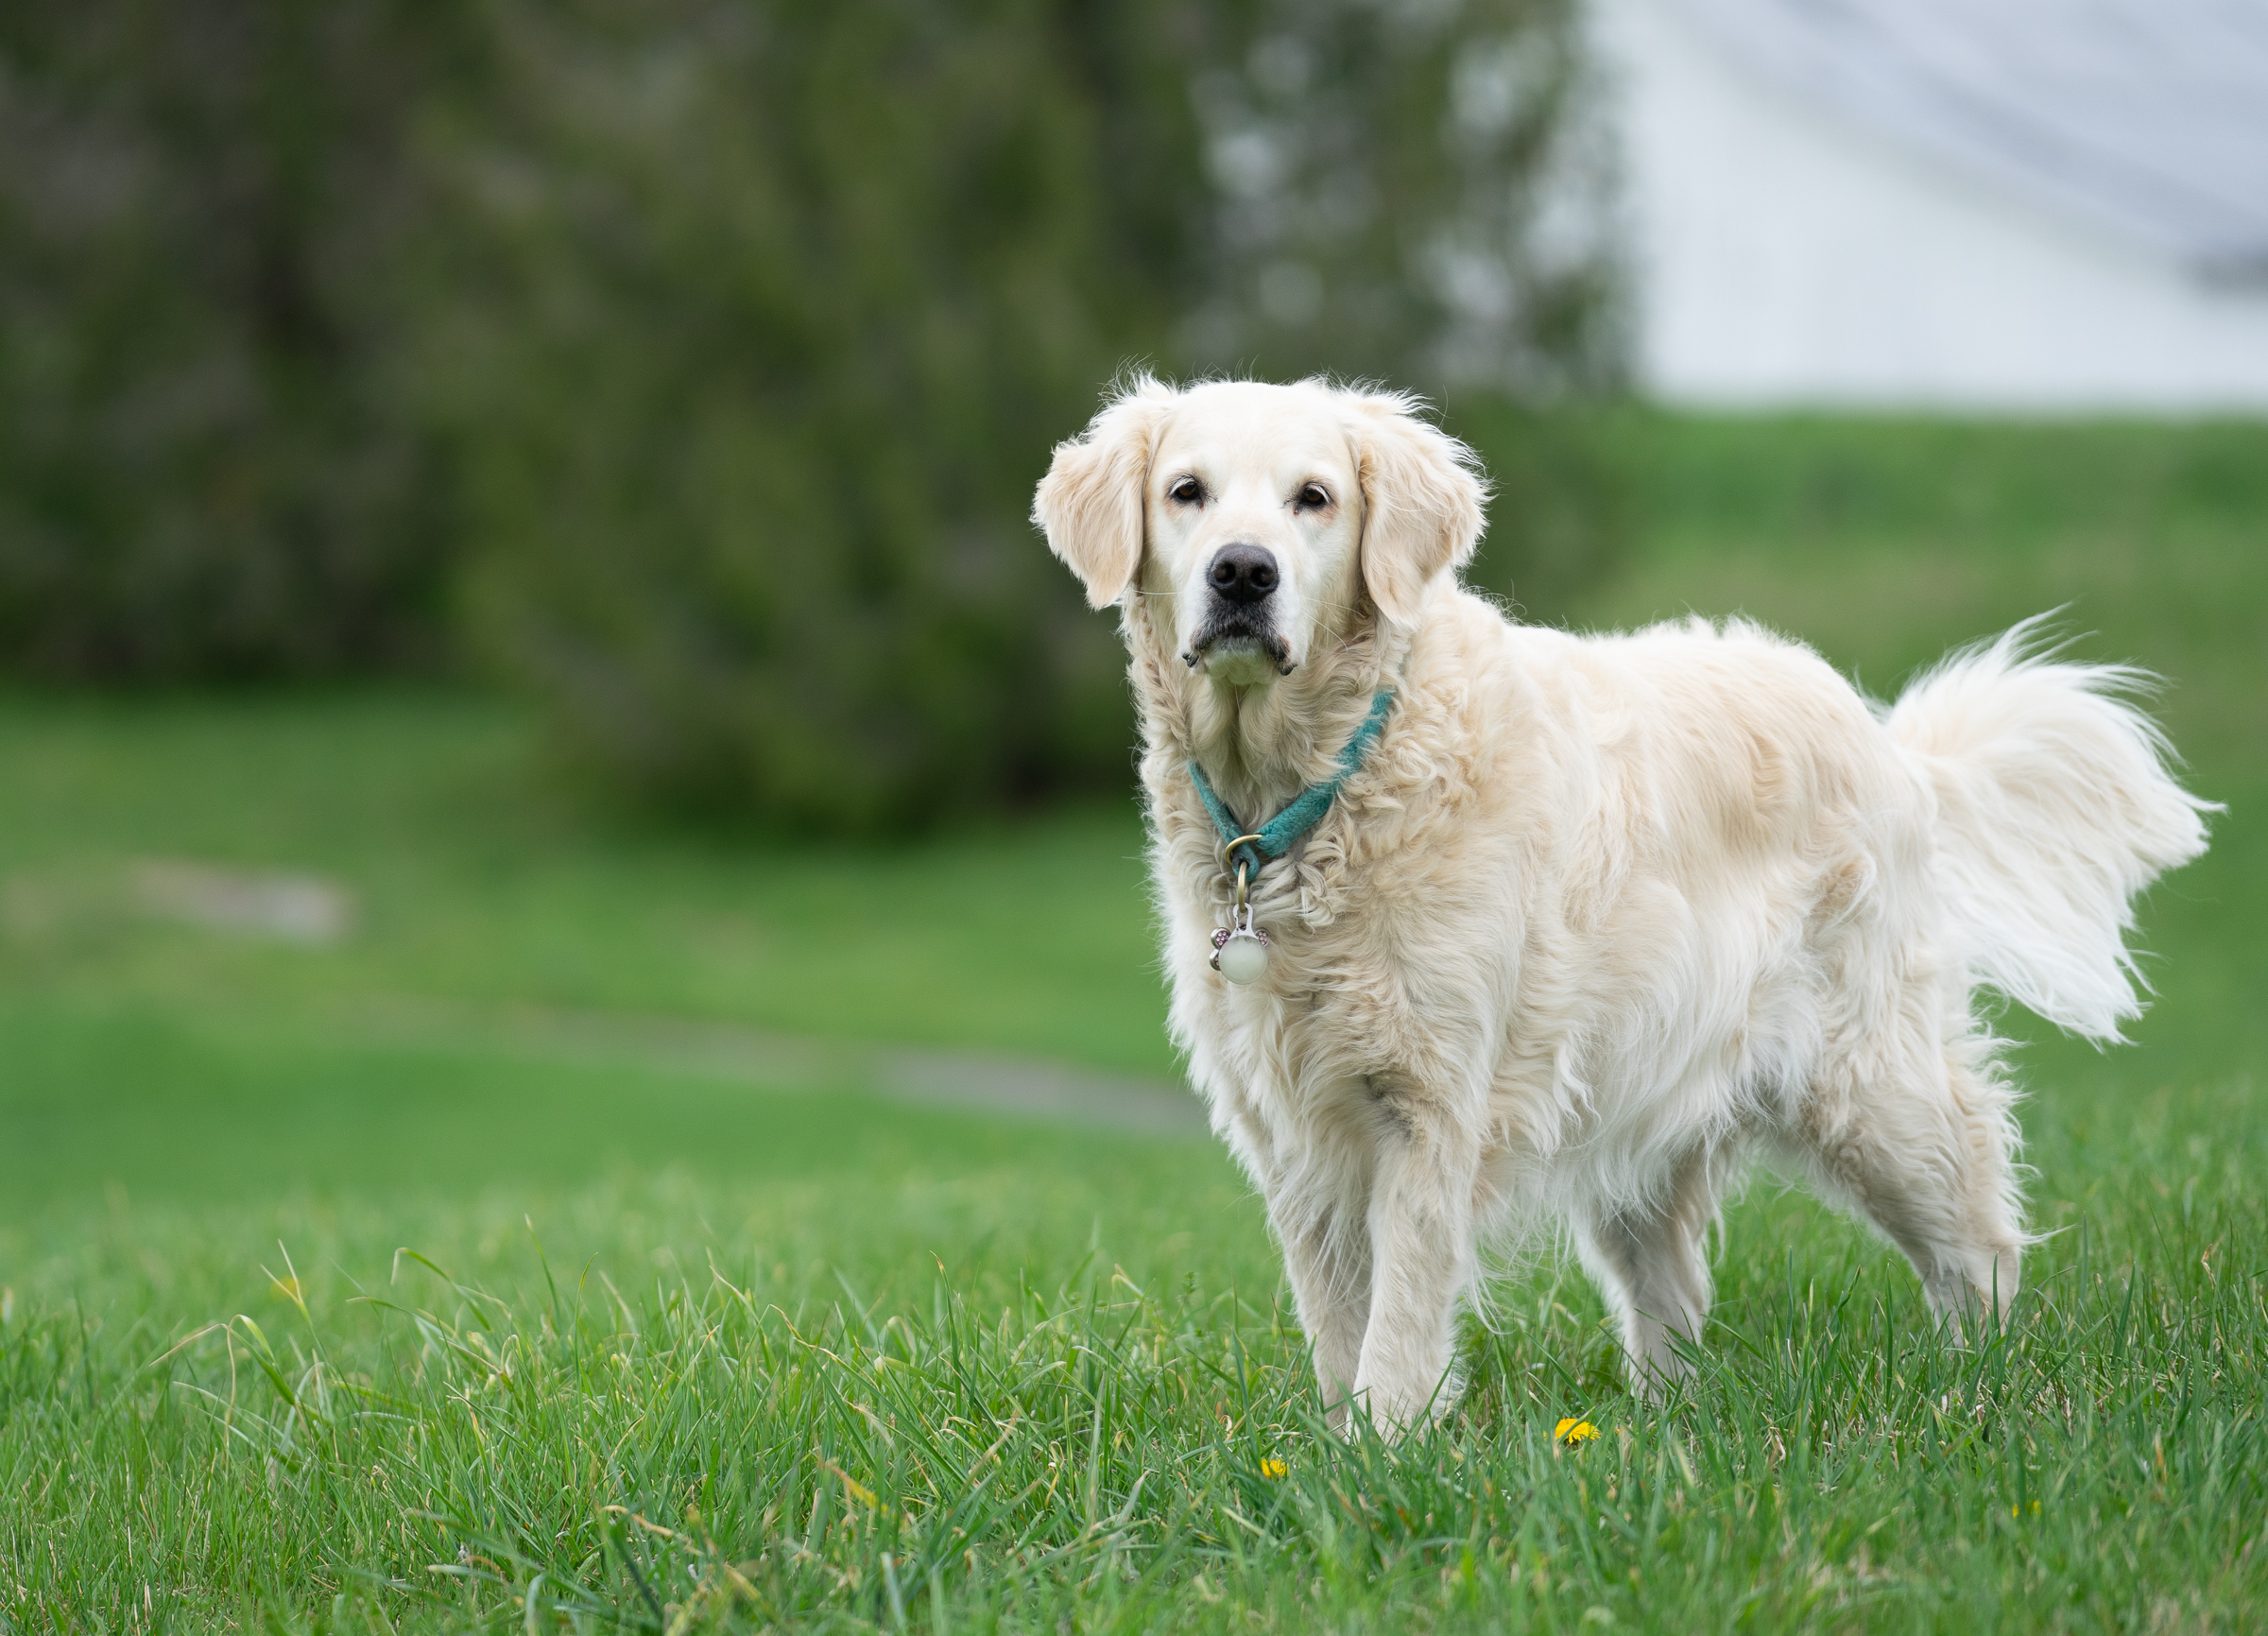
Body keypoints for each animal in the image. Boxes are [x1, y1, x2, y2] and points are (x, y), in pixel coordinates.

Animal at [1031, 376, 2212, 1435]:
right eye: (1187, 492)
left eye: (1312, 497)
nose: (1243, 572)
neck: (1311, 794)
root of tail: (1887, 741)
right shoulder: (1291, 1128)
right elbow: (1335, 1319)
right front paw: (1337, 1450)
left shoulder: (1429, 1105)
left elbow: (1400, 1318)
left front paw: (1383, 1450)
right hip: (1640, 1106)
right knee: (1672, 1294)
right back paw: (1661, 1425)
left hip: (1871, 1090)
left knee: (1978, 1232)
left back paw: (1987, 1385)